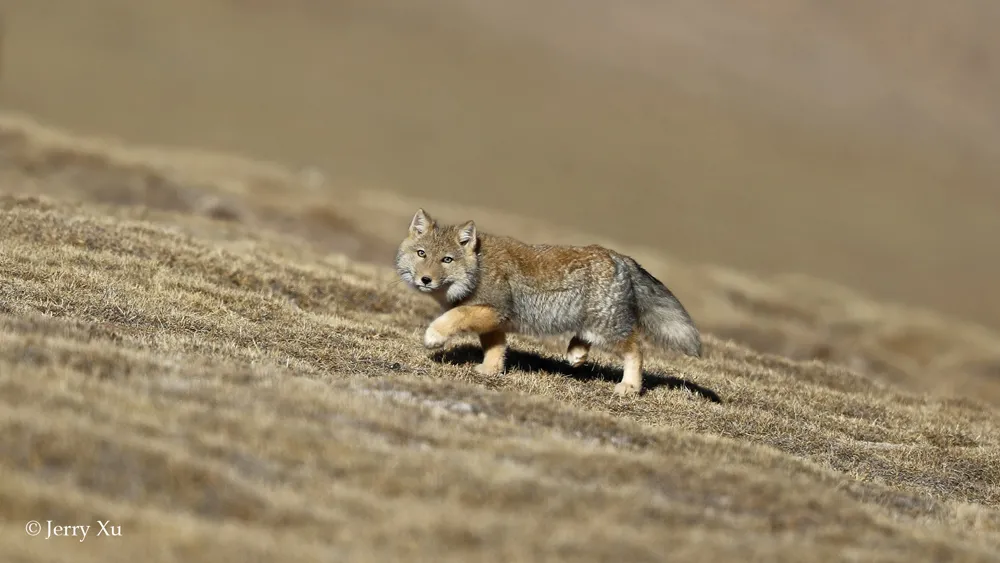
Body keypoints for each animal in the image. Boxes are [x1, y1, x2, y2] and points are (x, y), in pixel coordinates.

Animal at [392, 208, 704, 396]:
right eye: (421, 254)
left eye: (447, 260)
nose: (425, 280)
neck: (479, 266)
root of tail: (618, 256)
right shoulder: (496, 322)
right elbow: (496, 349)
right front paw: (490, 371)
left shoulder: (494, 310)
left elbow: (453, 318)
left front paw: (433, 336)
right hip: (592, 325)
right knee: (585, 339)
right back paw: (576, 354)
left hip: (609, 331)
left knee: (636, 349)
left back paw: (629, 386)